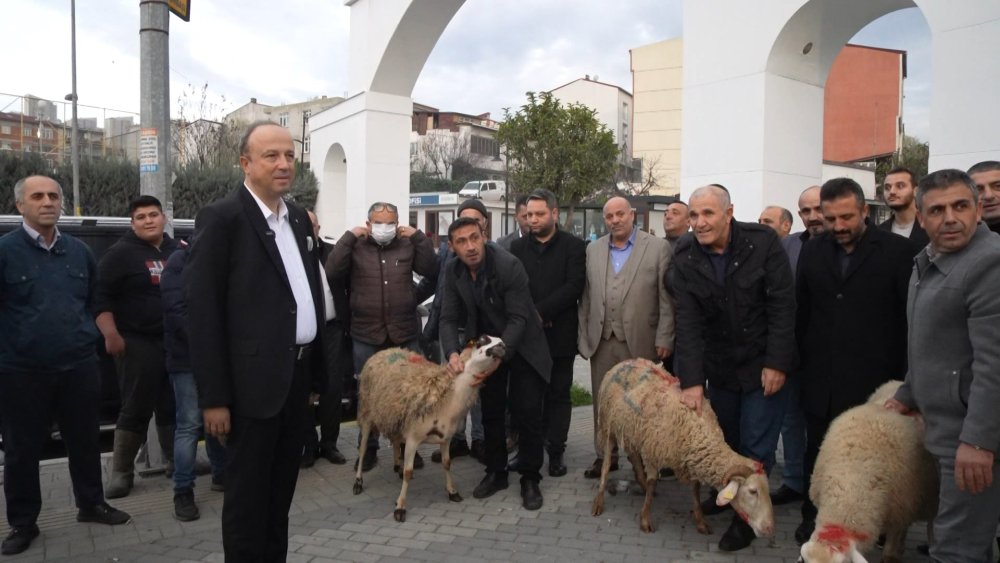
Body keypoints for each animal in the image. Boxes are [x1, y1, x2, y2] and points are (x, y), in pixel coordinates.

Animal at [352, 334, 508, 524]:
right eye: (482, 340)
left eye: (500, 340)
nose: (502, 346)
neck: (448, 399)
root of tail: (385, 351)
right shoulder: (413, 438)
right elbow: (409, 472)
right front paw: (400, 508)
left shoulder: (446, 438)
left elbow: (447, 463)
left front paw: (453, 492)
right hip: (367, 412)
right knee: (363, 449)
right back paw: (358, 482)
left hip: (396, 417)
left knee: (396, 441)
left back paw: (397, 465)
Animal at [588, 360, 776, 540]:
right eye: (753, 491)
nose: (769, 528)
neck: (695, 428)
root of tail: (623, 363)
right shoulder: (653, 451)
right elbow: (652, 482)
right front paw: (645, 519)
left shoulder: (689, 459)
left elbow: (695, 490)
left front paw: (700, 522)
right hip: (609, 426)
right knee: (606, 464)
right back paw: (599, 501)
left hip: (631, 429)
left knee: (633, 455)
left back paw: (640, 483)